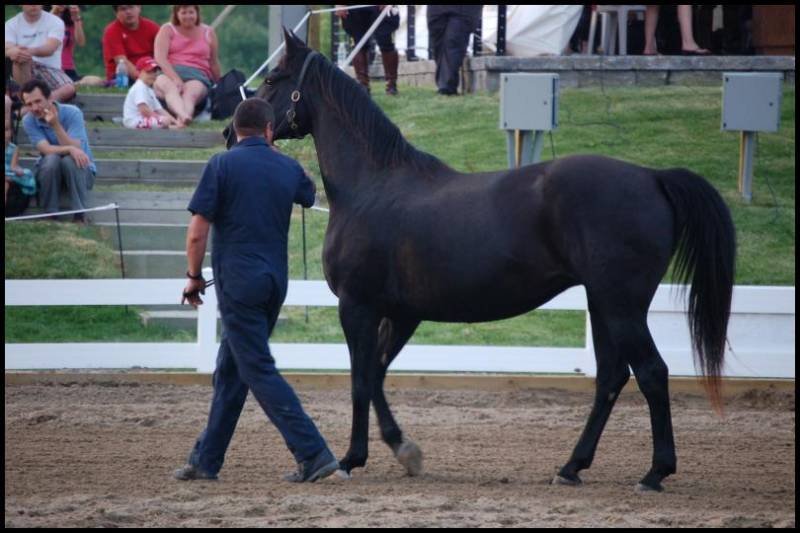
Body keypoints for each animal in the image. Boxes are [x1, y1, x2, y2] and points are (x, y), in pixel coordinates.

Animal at [235, 29, 736, 492]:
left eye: (275, 78)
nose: (229, 130)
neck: (371, 186)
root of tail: (652, 177)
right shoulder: (402, 313)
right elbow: (376, 374)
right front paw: (405, 450)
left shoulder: (357, 306)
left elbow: (360, 379)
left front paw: (351, 459)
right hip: (603, 304)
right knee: (611, 377)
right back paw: (572, 467)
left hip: (621, 306)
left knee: (651, 373)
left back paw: (654, 472)